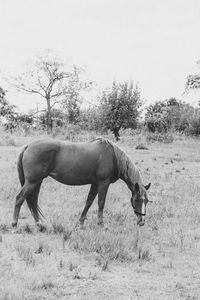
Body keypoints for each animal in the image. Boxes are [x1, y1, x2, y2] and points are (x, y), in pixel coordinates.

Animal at [11, 137, 151, 229]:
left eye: (147, 201)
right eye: (137, 200)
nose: (142, 221)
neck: (113, 157)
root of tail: (28, 146)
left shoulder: (95, 184)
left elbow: (89, 202)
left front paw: (81, 222)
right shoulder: (103, 183)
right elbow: (101, 203)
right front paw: (101, 224)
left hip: (37, 182)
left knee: (33, 200)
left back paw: (39, 224)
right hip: (32, 182)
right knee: (20, 198)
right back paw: (14, 224)